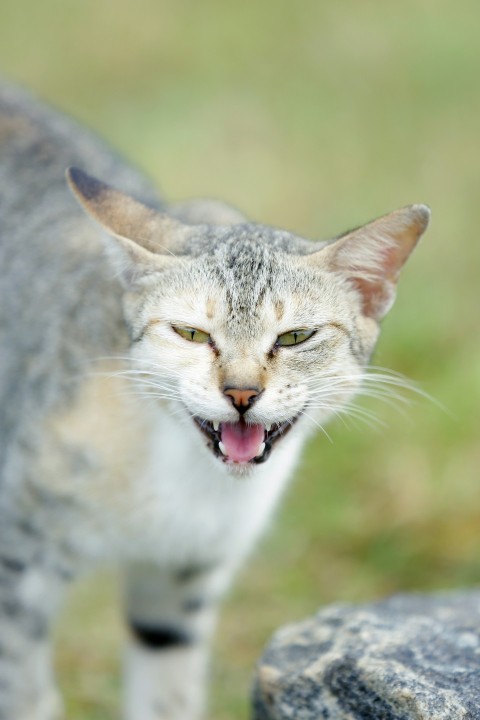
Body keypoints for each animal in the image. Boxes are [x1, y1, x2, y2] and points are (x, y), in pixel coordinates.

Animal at [0, 81, 430, 720]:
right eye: (192, 334)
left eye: (295, 337)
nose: (242, 392)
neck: (181, 485)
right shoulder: (15, 563)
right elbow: (23, 691)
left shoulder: (181, 584)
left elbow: (167, 696)